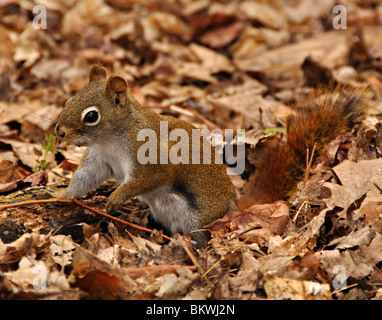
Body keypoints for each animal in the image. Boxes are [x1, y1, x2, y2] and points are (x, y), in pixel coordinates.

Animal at [54, 63, 370, 246]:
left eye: (91, 116)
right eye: (69, 99)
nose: (58, 131)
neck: (110, 138)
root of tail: (235, 205)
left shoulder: (150, 158)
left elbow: (146, 179)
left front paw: (114, 199)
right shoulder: (100, 160)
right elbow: (84, 178)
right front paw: (60, 195)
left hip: (198, 217)